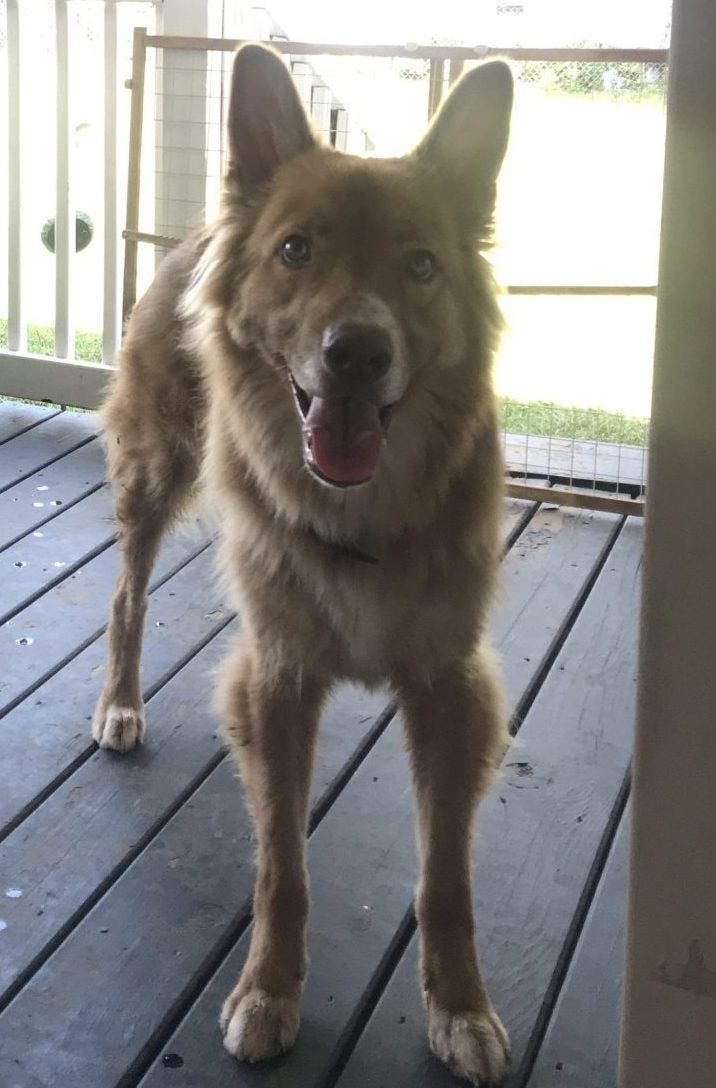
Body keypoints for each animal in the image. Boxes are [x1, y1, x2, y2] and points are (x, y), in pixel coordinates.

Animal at [93, 44, 513, 1088]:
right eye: (296, 251)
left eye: (420, 265)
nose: (356, 352)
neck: (356, 509)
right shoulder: (276, 678)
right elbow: (282, 867)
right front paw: (268, 993)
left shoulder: (451, 688)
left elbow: (446, 878)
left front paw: (460, 1006)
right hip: (153, 475)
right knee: (124, 596)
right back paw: (119, 704)